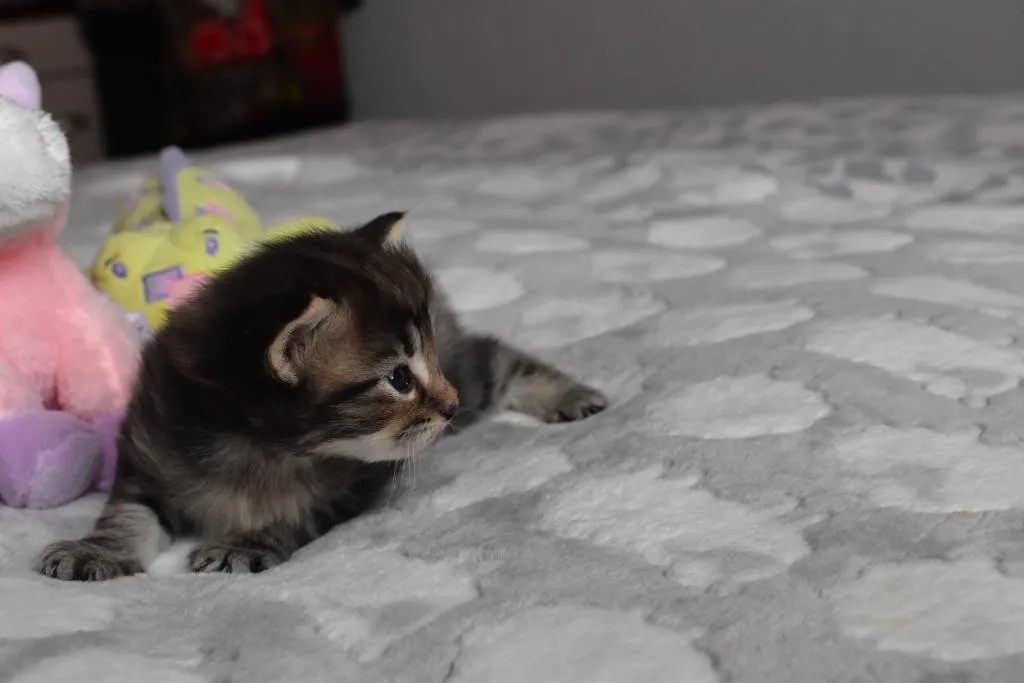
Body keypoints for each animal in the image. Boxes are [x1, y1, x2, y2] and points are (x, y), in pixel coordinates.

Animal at [37, 212, 606, 581]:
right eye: (399, 379)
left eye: (418, 366)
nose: (449, 406)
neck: (259, 450)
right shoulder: (149, 458)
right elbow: (126, 514)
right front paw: (96, 553)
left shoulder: (346, 487)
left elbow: (291, 515)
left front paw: (246, 542)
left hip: (467, 369)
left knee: (493, 356)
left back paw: (572, 394)